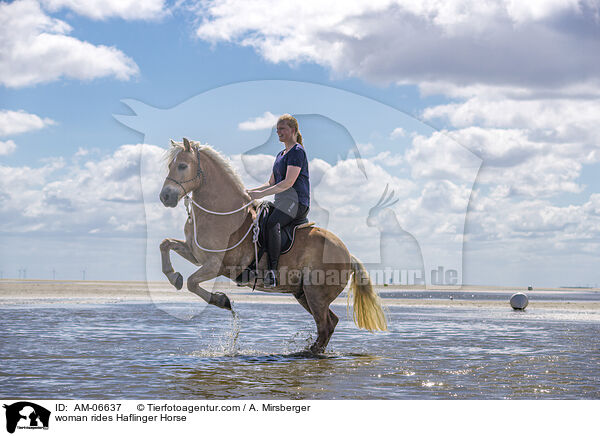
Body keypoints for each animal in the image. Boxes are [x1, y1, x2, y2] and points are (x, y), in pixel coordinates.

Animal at [157, 138, 386, 352]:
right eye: (170, 166)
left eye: (183, 166)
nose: (165, 197)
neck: (221, 213)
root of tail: (347, 254)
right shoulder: (197, 256)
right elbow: (165, 244)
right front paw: (174, 277)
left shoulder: (216, 265)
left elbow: (192, 282)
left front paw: (222, 301)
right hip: (303, 294)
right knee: (330, 323)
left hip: (316, 295)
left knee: (325, 325)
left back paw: (307, 353)